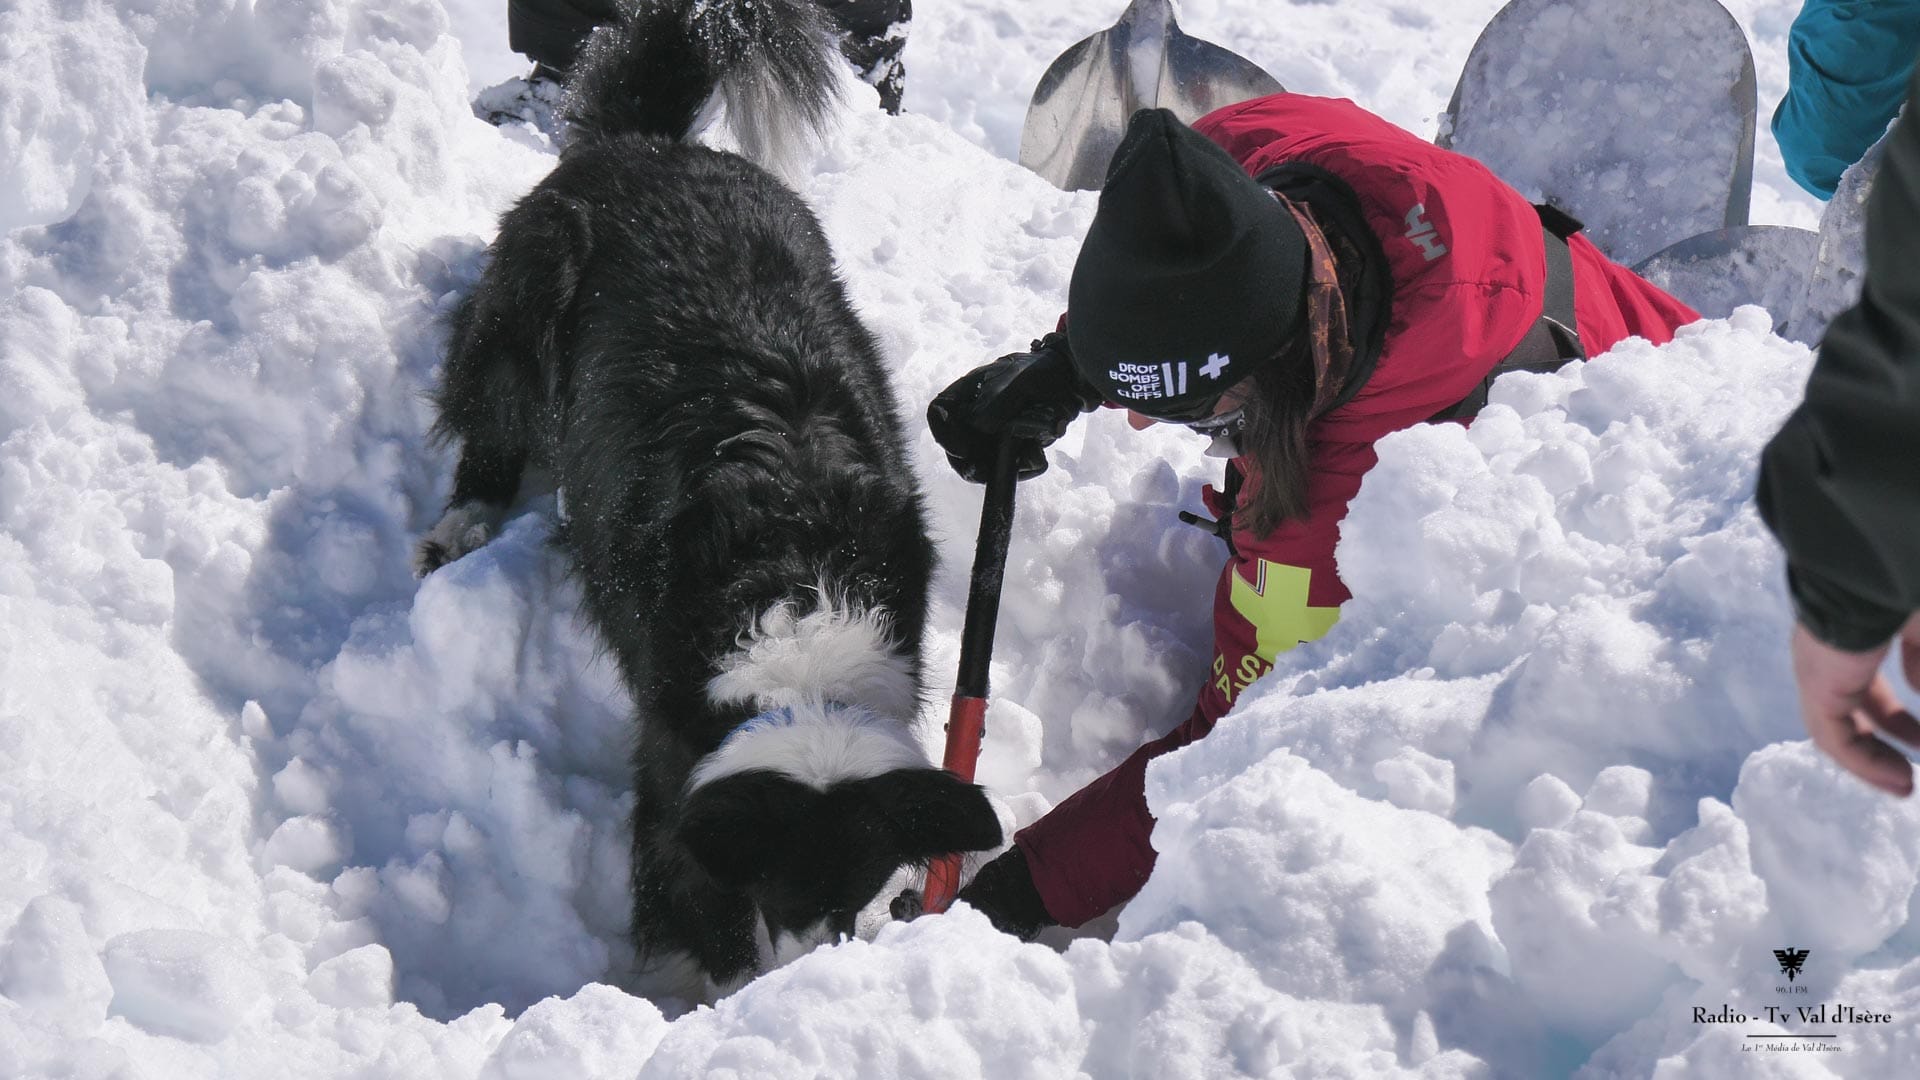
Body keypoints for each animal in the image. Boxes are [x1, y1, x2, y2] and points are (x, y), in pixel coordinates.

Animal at [415, 0, 1002, 999]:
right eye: (773, 884)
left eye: (862, 887)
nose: (814, 970)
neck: (803, 600)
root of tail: (649, 143)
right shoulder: (670, 743)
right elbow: (683, 879)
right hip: (532, 283)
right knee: (489, 401)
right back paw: (464, 524)